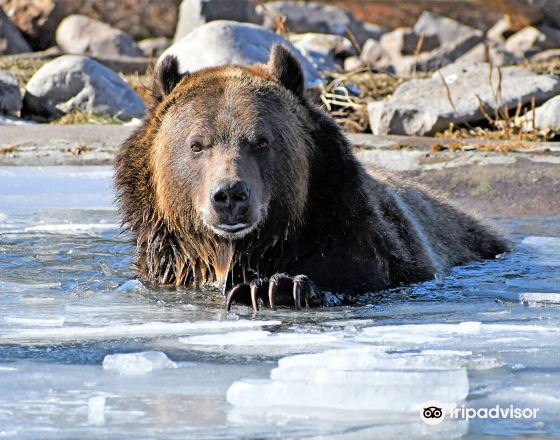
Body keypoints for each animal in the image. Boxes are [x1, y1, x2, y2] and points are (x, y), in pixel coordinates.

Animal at [116, 43, 510, 312]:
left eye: (261, 141)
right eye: (197, 144)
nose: (230, 195)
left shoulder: (354, 234)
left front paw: (273, 287)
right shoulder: (168, 263)